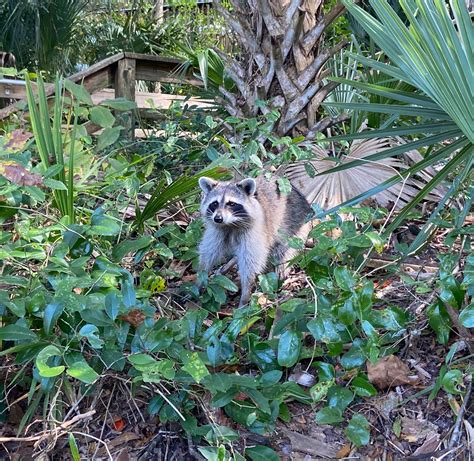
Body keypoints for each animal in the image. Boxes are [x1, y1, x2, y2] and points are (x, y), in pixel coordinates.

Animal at [198, 173, 312, 306]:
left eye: (231, 204)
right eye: (214, 203)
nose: (218, 218)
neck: (231, 225)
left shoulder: (255, 231)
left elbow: (251, 263)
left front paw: (245, 295)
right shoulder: (217, 230)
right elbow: (209, 252)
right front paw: (200, 279)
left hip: (295, 224)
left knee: (283, 251)